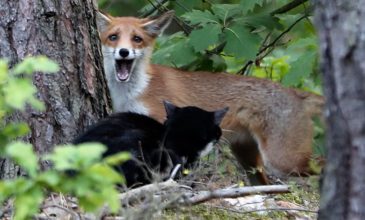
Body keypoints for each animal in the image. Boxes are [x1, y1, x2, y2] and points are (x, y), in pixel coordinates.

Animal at [95, 10, 322, 183]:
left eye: (137, 39)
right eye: (113, 37)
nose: (124, 52)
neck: (134, 91)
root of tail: (293, 92)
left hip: (282, 161)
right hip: (250, 161)